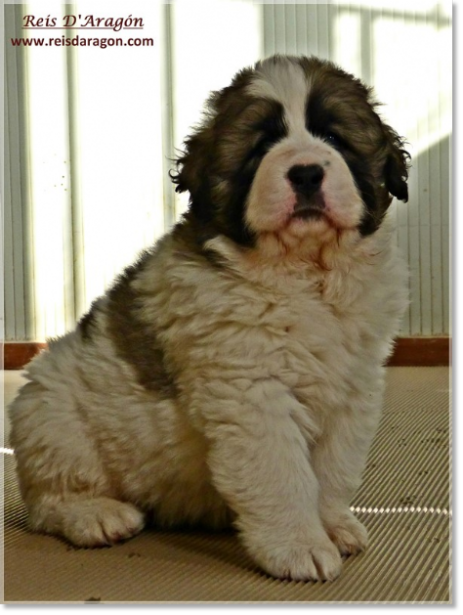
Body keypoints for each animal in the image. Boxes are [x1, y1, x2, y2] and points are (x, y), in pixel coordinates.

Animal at [9, 54, 412, 584]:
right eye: (261, 146)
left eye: (335, 137)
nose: (306, 172)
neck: (305, 277)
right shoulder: (252, 391)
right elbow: (283, 473)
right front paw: (299, 546)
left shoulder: (352, 387)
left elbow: (332, 468)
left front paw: (331, 525)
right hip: (50, 412)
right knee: (48, 499)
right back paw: (96, 515)